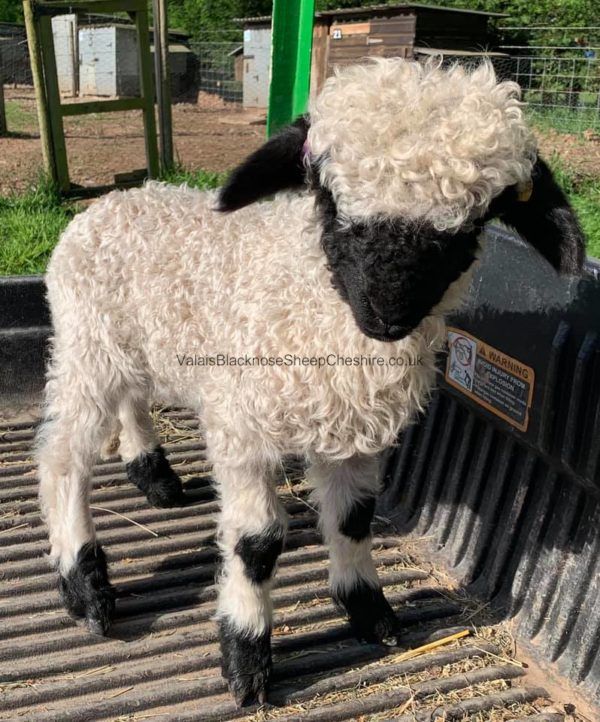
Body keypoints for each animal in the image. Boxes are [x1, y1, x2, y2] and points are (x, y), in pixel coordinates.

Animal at [36, 58, 585, 707]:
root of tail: (116, 199)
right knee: (63, 456)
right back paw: (86, 587)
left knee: (131, 402)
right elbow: (256, 545)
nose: (386, 314)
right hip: (86, 345)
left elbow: (354, 520)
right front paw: (247, 657)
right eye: (326, 195)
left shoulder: (355, 435)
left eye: (474, 223)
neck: (310, 301)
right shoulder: (243, 427)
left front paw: (370, 612)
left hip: (131, 345)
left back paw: (155, 477)